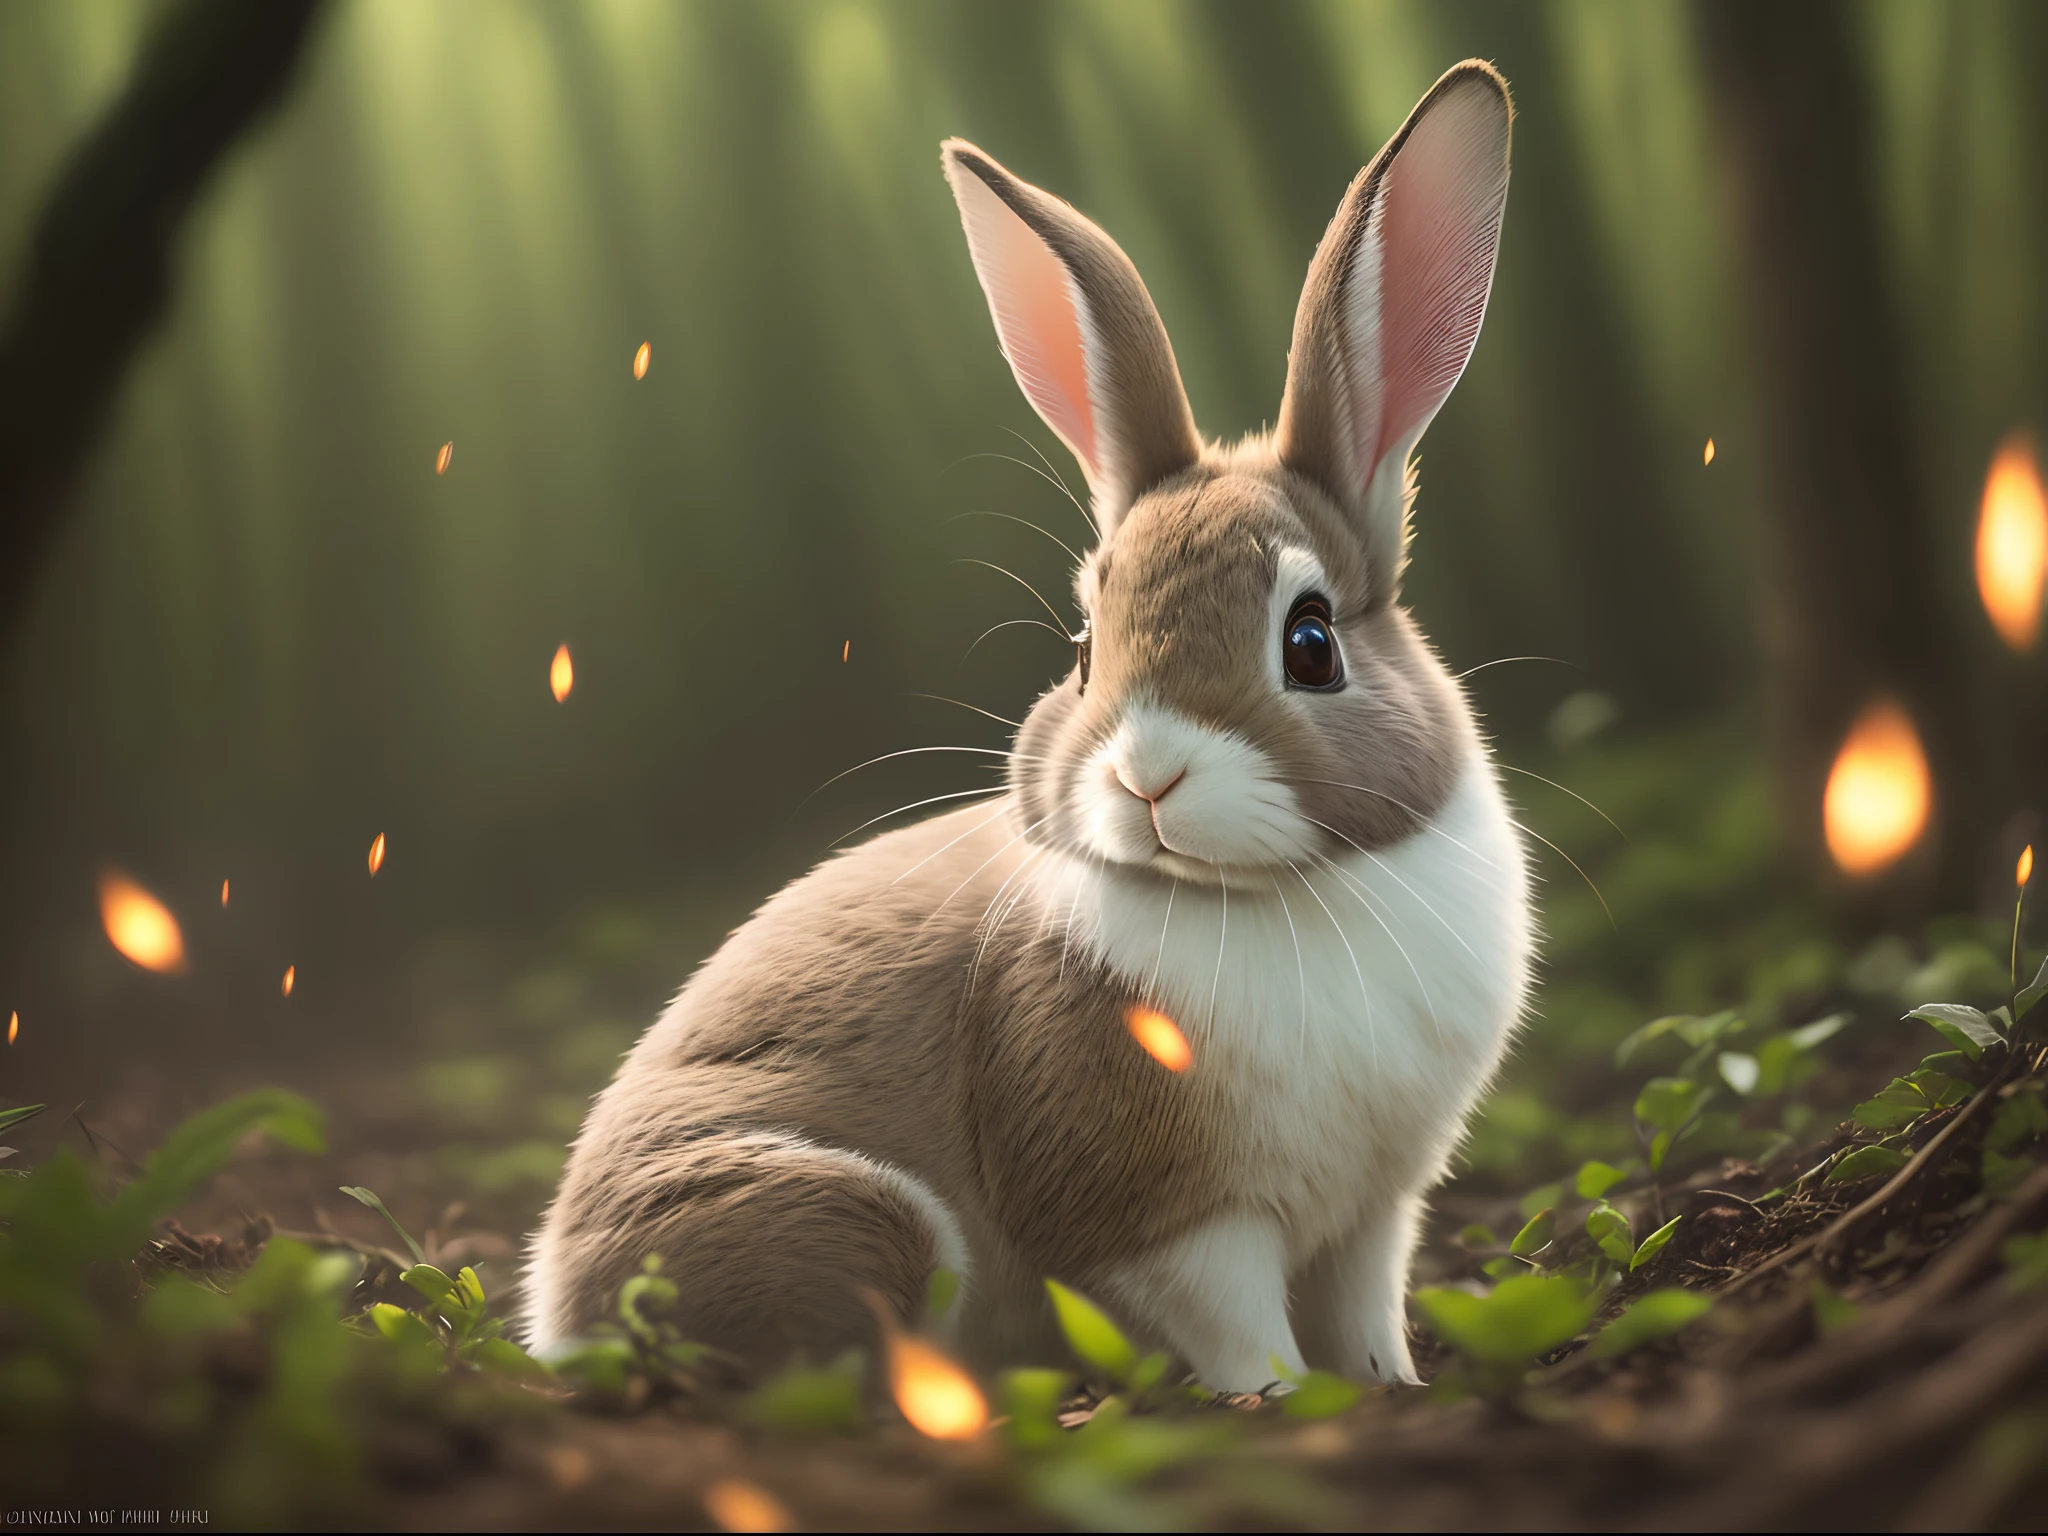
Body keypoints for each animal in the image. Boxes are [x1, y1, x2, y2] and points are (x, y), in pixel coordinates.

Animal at [520, 63, 1531, 1392]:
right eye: (1085, 647)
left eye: (1310, 642)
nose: (1148, 776)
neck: (1269, 896)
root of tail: (552, 1302)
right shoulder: (1169, 1221)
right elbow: (1232, 1322)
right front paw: (1280, 1399)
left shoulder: (1374, 1215)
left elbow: (1364, 1309)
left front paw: (1388, 1388)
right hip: (859, 1223)